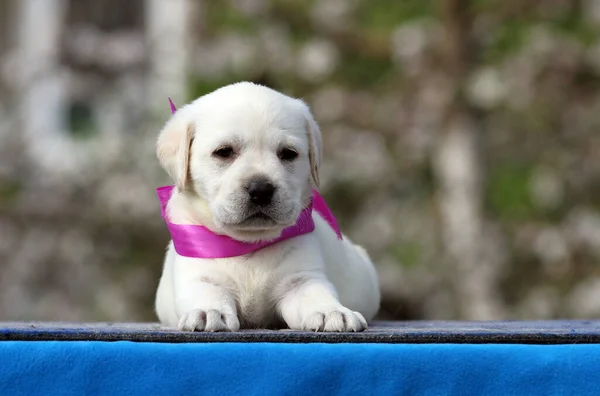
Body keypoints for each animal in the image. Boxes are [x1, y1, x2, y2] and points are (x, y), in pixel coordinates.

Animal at [155, 83, 380, 332]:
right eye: (224, 152)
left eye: (289, 153)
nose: (261, 189)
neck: (247, 245)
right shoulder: (199, 275)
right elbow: (207, 292)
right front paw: (208, 312)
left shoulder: (301, 279)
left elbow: (315, 294)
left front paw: (330, 312)